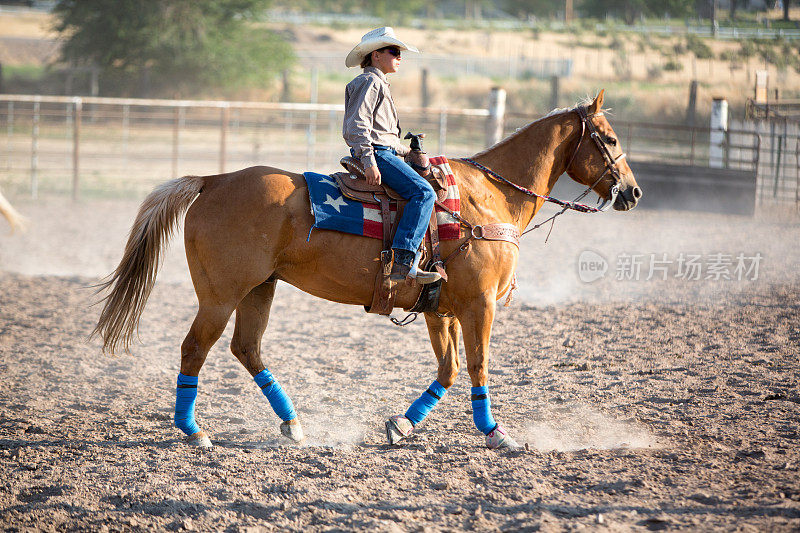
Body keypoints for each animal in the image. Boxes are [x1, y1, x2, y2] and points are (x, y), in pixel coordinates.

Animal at [95, 91, 644, 448]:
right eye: (611, 139)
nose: (633, 192)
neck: (490, 197)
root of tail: (214, 179)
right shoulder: (480, 305)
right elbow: (478, 366)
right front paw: (497, 433)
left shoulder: (440, 309)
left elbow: (447, 370)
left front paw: (402, 425)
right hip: (221, 294)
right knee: (195, 349)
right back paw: (194, 431)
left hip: (260, 289)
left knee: (246, 349)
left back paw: (293, 425)